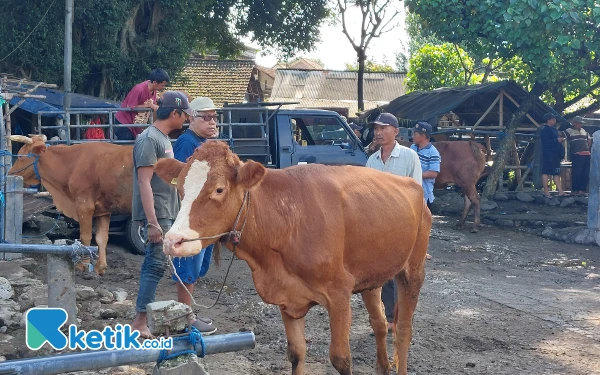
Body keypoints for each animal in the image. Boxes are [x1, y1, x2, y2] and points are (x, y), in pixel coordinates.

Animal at [8, 135, 132, 276]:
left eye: (20, 156)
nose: (10, 173)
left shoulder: (84, 206)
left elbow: (85, 237)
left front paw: (83, 265)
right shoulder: (104, 210)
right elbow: (102, 237)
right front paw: (100, 267)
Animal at [152, 142, 428, 375]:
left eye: (219, 189)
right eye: (180, 188)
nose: (172, 240)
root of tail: (410, 182)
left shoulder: (339, 293)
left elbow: (341, 359)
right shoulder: (288, 298)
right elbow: (296, 353)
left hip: (413, 270)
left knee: (404, 329)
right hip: (371, 276)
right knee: (379, 322)